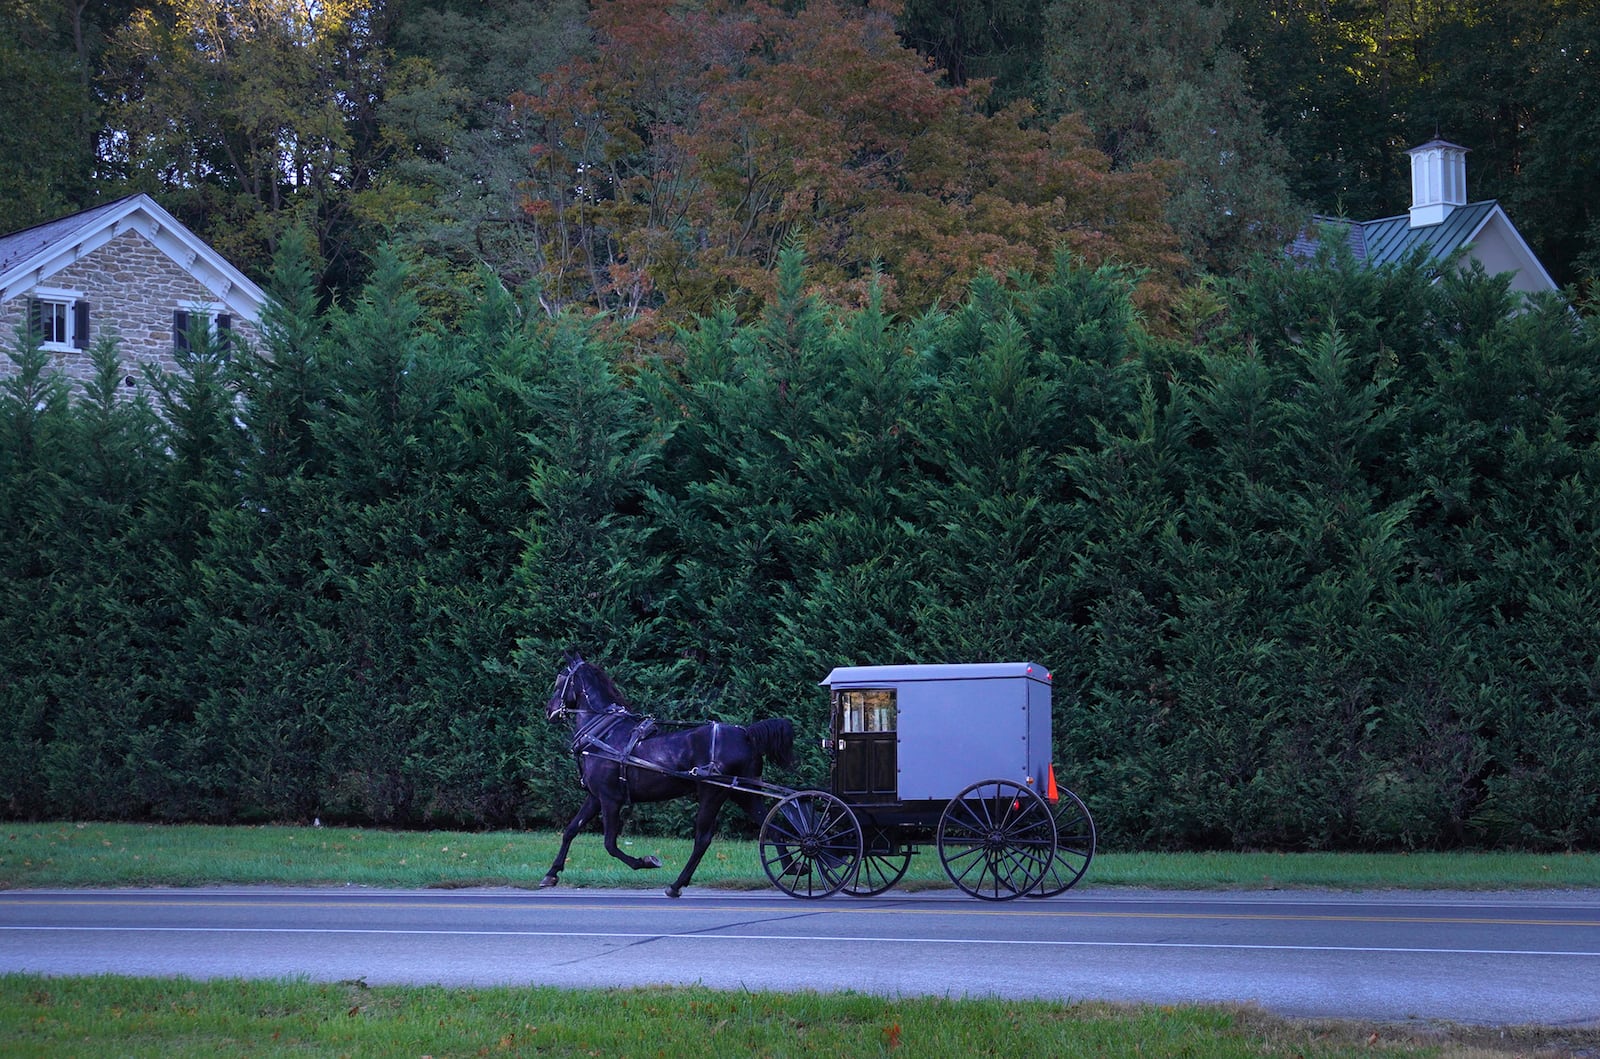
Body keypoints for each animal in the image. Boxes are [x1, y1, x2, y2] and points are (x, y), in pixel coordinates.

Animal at [537, 655, 793, 895]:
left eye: (560, 680)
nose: (549, 710)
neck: (604, 735)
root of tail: (746, 734)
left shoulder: (610, 800)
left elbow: (609, 844)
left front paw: (646, 861)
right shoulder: (595, 797)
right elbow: (571, 830)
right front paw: (551, 873)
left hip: (713, 794)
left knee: (702, 840)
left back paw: (676, 884)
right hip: (743, 794)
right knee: (772, 827)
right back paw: (791, 867)